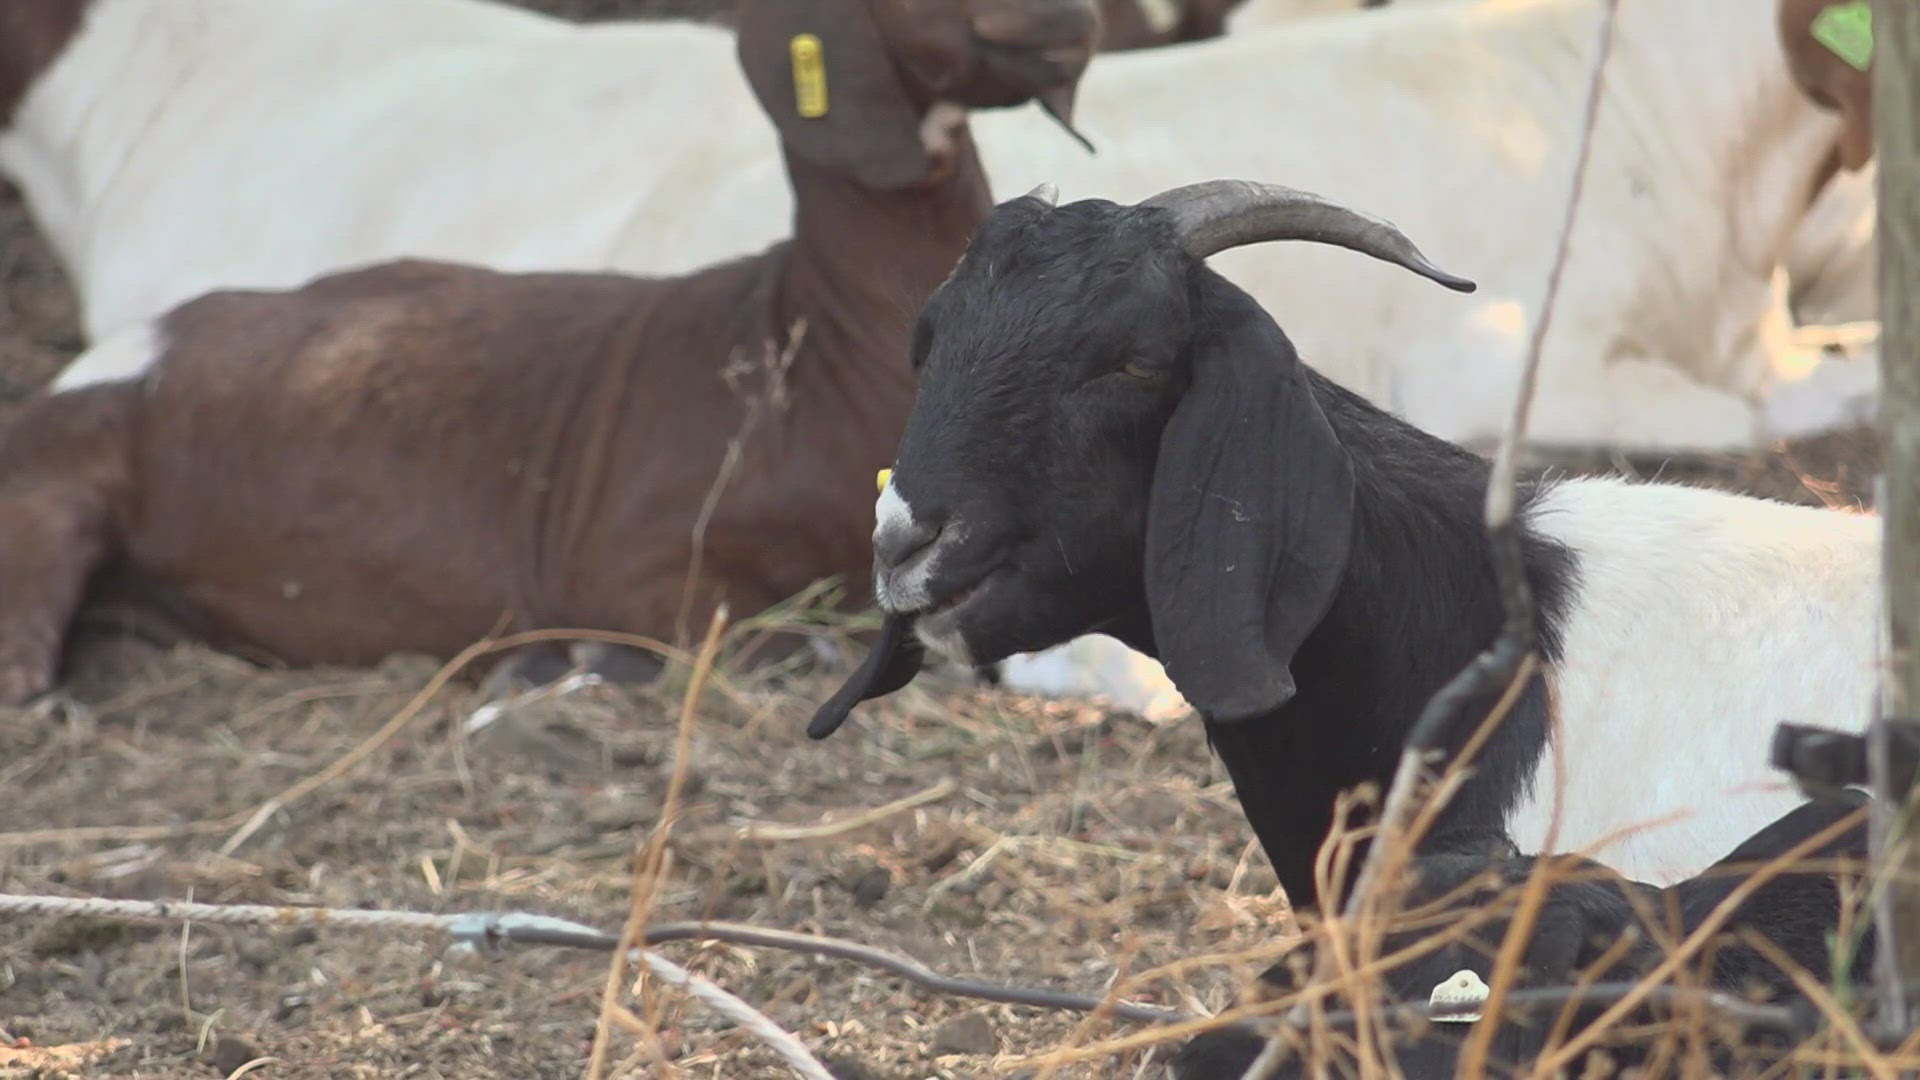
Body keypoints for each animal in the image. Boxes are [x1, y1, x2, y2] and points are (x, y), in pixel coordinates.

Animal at [0, 0, 1098, 699]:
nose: (1071, 16)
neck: (809, 335)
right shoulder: (633, 556)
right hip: (50, 500)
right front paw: (573, 662)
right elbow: (765, 645)